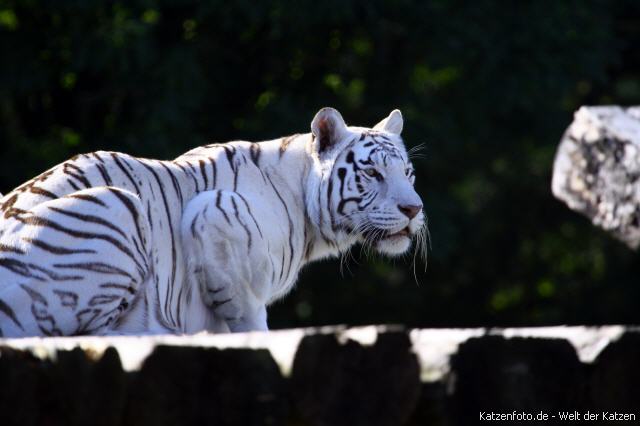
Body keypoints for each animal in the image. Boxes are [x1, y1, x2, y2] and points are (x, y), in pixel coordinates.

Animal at [0, 107, 426, 337]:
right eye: (372, 173)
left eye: (408, 173)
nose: (414, 209)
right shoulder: (215, 213)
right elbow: (249, 318)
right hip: (118, 204)